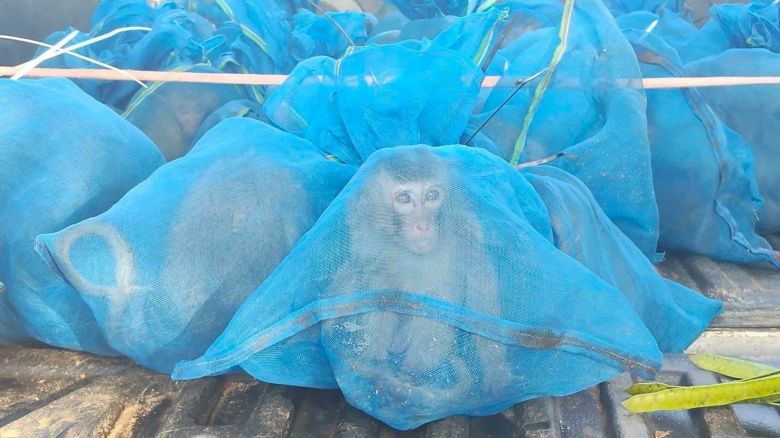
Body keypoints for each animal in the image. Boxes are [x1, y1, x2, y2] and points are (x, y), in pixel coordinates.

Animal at [320, 146, 512, 419]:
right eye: (404, 198)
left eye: (432, 195)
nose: (423, 225)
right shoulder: (366, 239)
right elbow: (370, 284)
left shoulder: (466, 229)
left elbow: (480, 283)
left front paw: (497, 372)